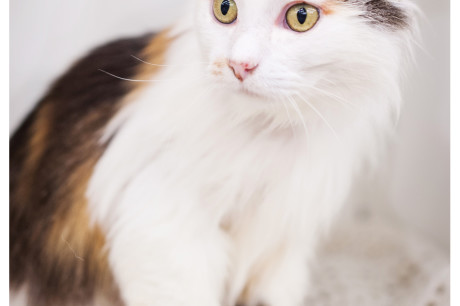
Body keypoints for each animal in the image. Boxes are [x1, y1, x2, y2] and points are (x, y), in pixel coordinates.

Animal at [9, 0, 416, 306]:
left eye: (302, 16)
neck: (270, 131)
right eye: (225, 8)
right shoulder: (161, 228)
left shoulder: (284, 242)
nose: (239, 65)